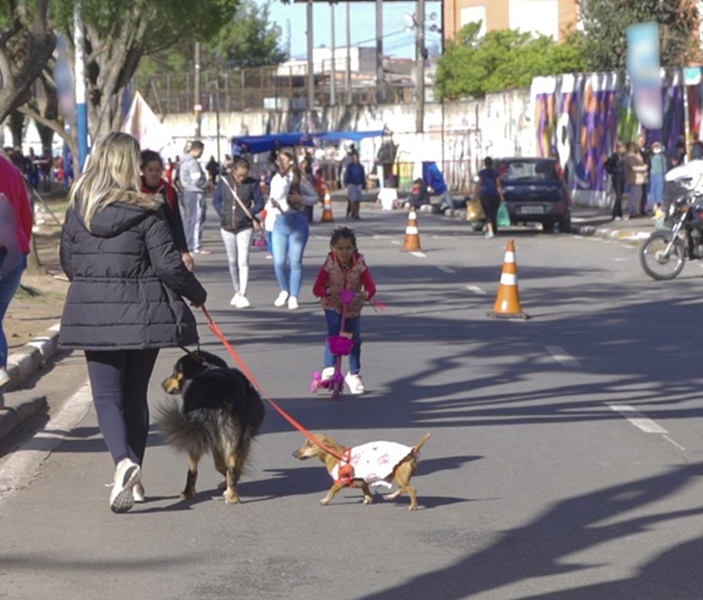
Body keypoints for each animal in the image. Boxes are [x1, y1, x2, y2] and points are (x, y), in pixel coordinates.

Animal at [157, 350, 266, 504]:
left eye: (175, 372)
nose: (162, 384)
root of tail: (211, 396)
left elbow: (221, 465)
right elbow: (230, 466)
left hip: (200, 435)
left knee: (194, 470)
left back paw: (189, 493)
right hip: (230, 435)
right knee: (231, 469)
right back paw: (231, 495)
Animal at [292, 432, 428, 510]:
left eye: (309, 444)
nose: (294, 454)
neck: (335, 456)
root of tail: (412, 451)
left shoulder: (339, 482)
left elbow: (331, 492)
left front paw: (325, 501)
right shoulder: (362, 481)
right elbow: (366, 491)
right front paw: (368, 499)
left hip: (400, 477)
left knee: (411, 490)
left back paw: (413, 506)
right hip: (399, 477)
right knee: (403, 489)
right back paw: (390, 496)